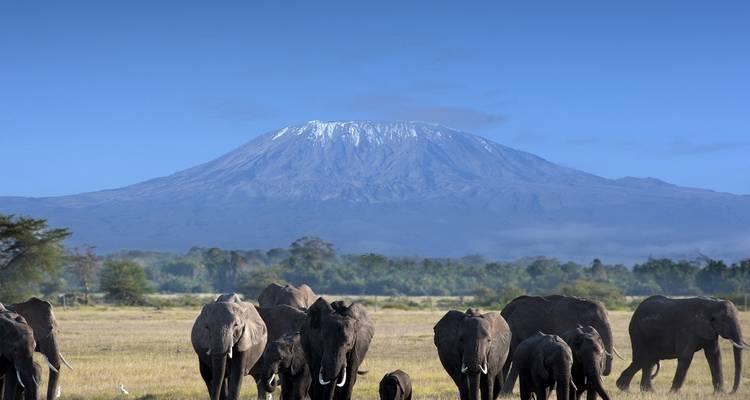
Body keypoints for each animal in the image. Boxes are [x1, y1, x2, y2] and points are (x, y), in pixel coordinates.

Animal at [616, 295, 748, 393]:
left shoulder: (710, 331)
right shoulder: (687, 330)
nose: (731, 392)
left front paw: (720, 394)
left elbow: (714, 356)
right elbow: (686, 356)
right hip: (637, 332)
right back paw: (626, 389)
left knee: (648, 361)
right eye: (725, 320)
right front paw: (673, 394)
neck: (712, 304)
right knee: (642, 359)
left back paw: (645, 391)